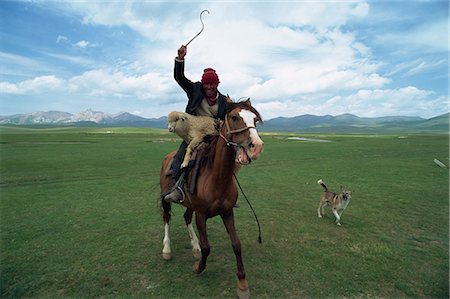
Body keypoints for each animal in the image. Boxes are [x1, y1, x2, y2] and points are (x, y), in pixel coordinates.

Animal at [159, 99, 262, 298]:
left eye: (254, 119)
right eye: (234, 117)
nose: (257, 146)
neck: (217, 178)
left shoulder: (227, 212)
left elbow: (236, 245)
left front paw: (242, 283)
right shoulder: (201, 214)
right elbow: (207, 247)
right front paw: (198, 268)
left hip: (189, 204)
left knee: (186, 217)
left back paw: (194, 247)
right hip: (165, 197)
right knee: (167, 218)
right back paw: (167, 250)